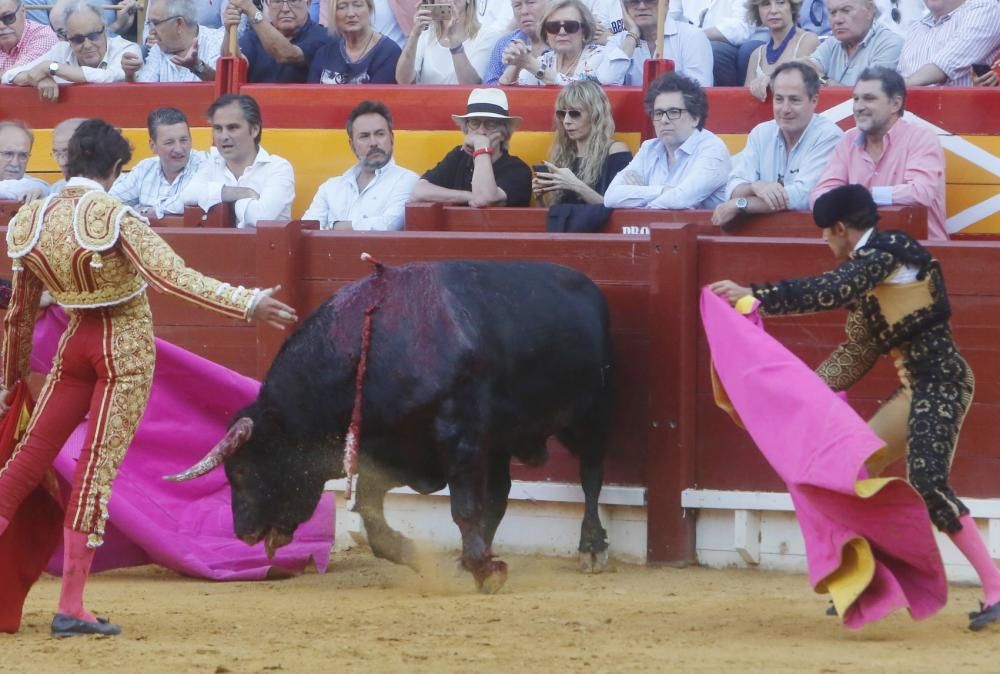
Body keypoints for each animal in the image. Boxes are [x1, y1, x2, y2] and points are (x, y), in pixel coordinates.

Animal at [168, 260, 612, 592]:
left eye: (242, 469)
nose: (243, 532)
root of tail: (588, 285)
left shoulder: (461, 440)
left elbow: (465, 507)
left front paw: (487, 572)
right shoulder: (385, 452)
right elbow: (373, 520)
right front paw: (423, 555)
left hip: (590, 416)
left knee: (591, 476)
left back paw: (591, 547)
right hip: (501, 440)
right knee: (502, 490)